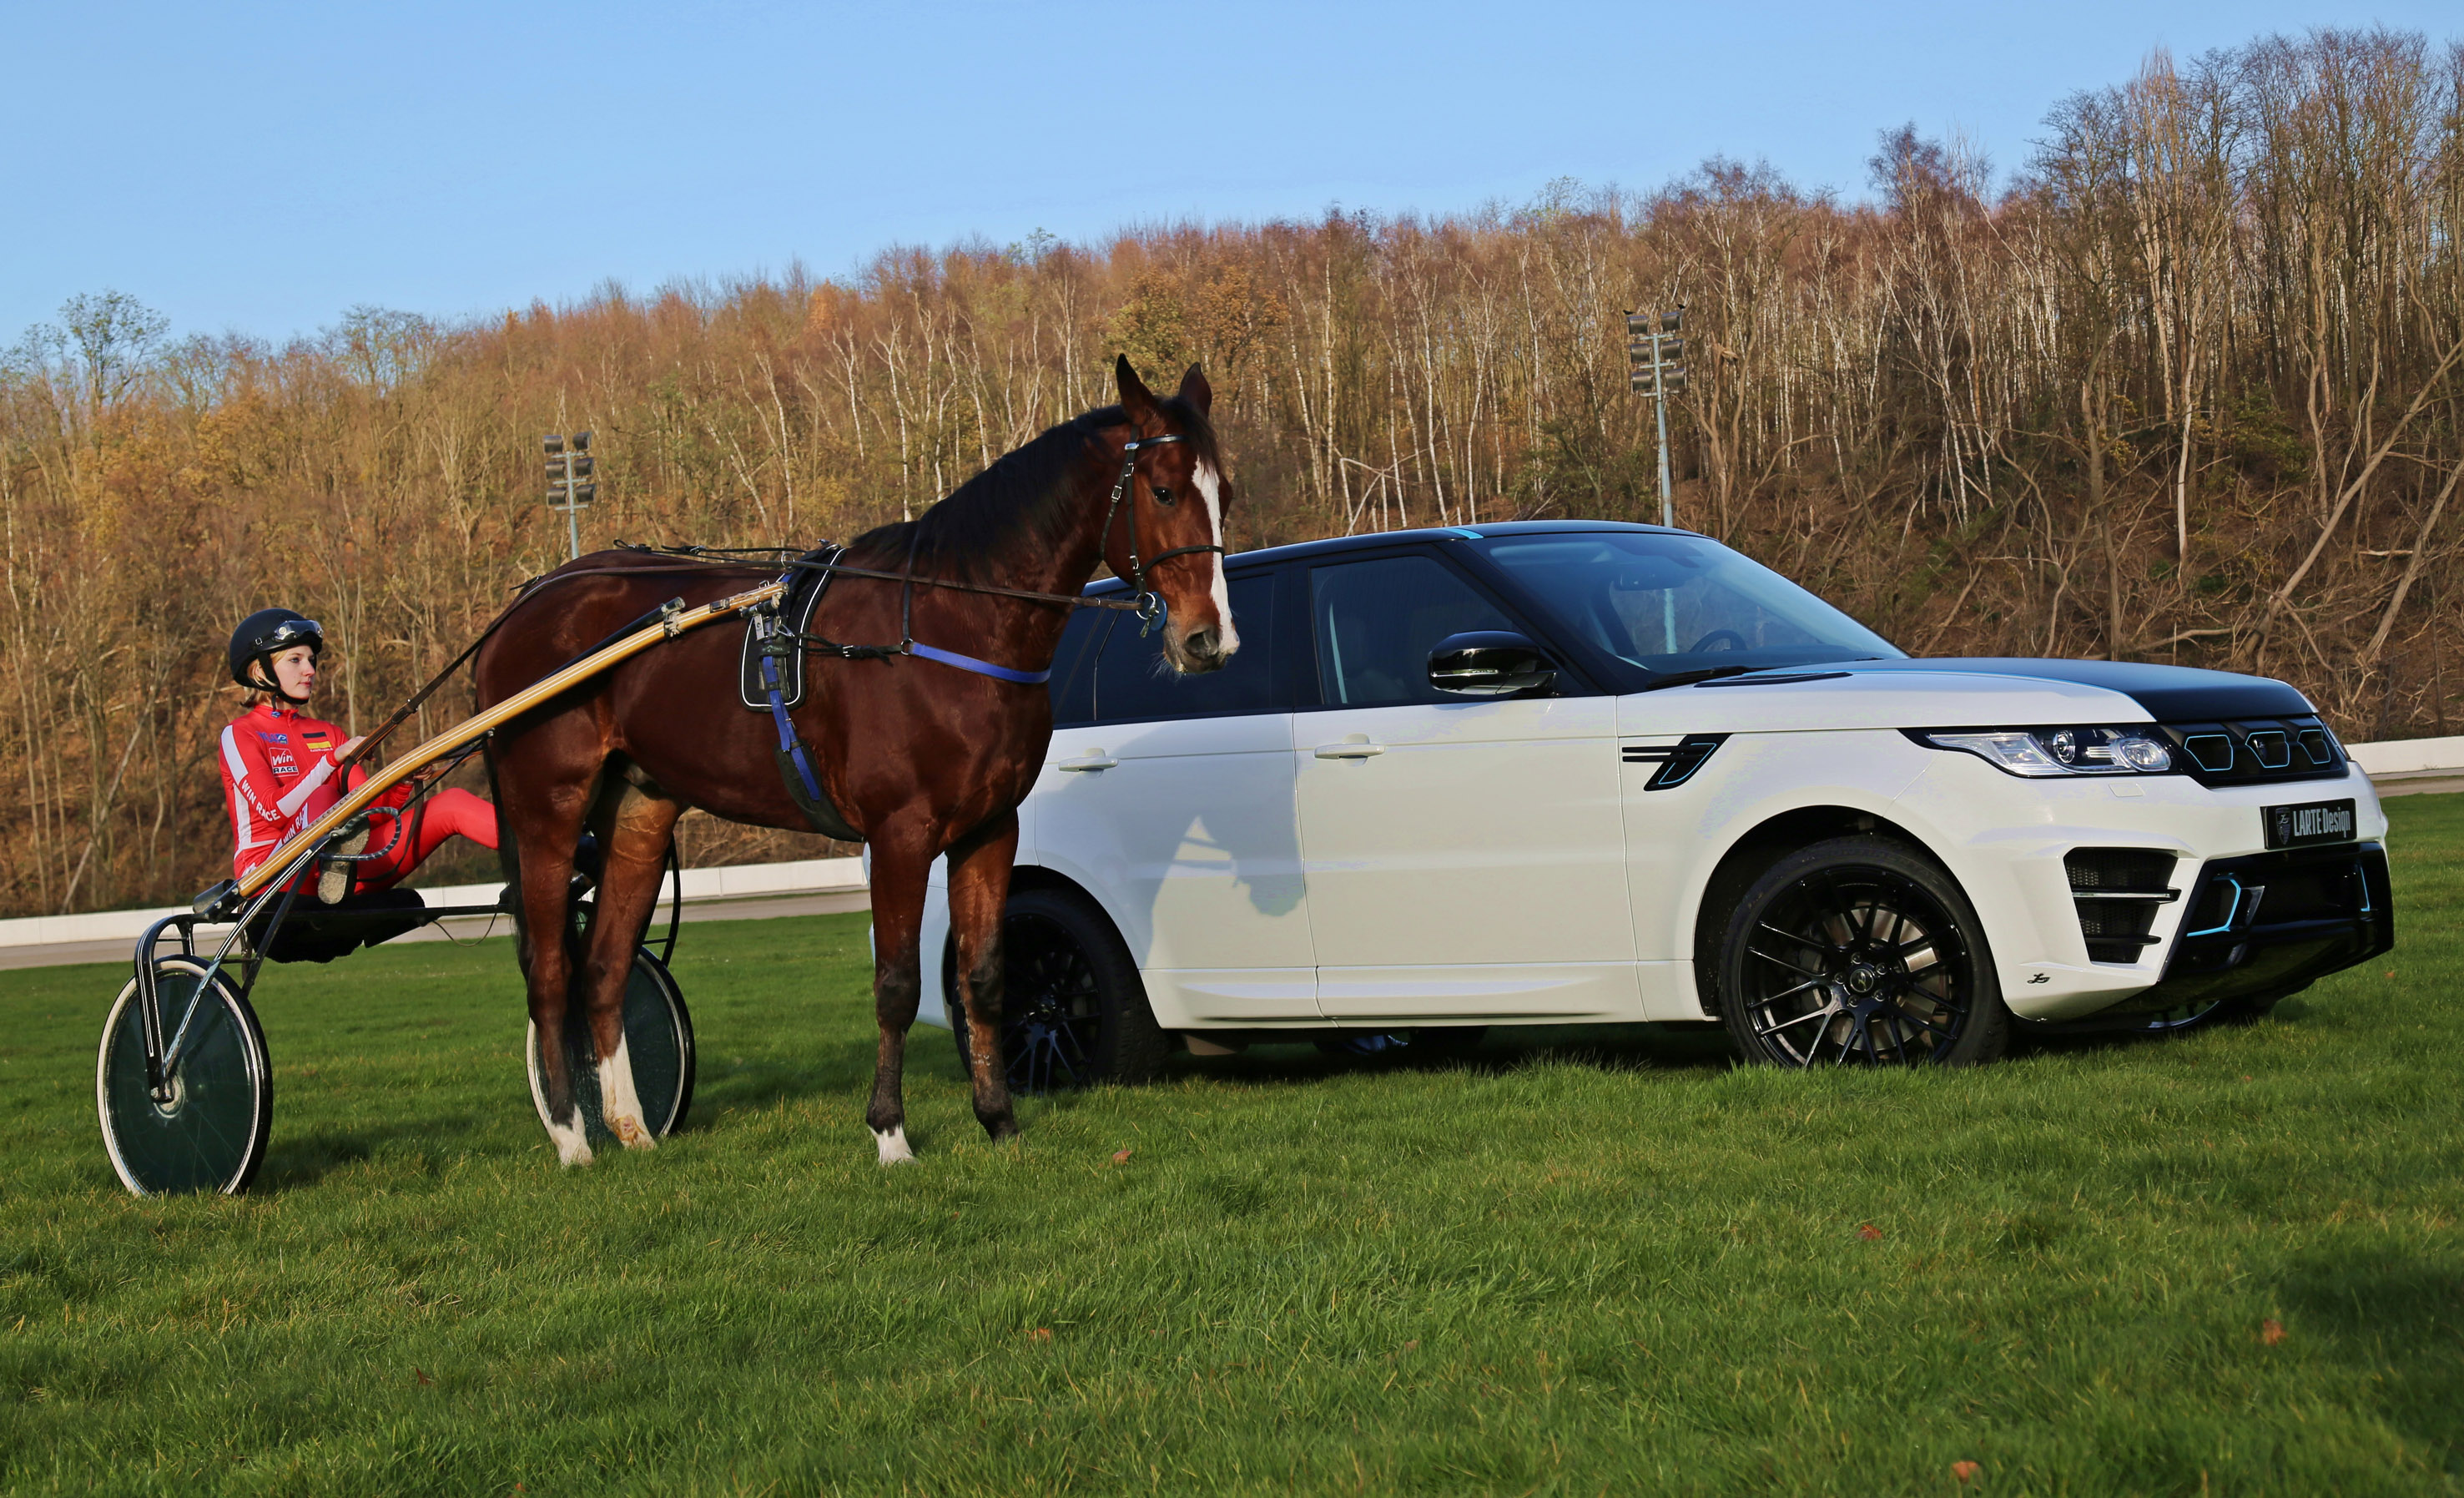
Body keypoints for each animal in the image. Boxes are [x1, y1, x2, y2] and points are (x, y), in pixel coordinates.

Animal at [472, 357, 1242, 1163]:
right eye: (1163, 490)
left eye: (1226, 492)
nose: (1207, 638)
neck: (947, 619)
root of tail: (523, 608)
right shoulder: (900, 832)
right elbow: (897, 984)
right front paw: (890, 1132)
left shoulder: (990, 829)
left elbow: (983, 977)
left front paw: (998, 1120)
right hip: (547, 812)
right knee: (550, 974)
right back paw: (570, 1135)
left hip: (637, 816)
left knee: (604, 970)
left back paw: (633, 1128)